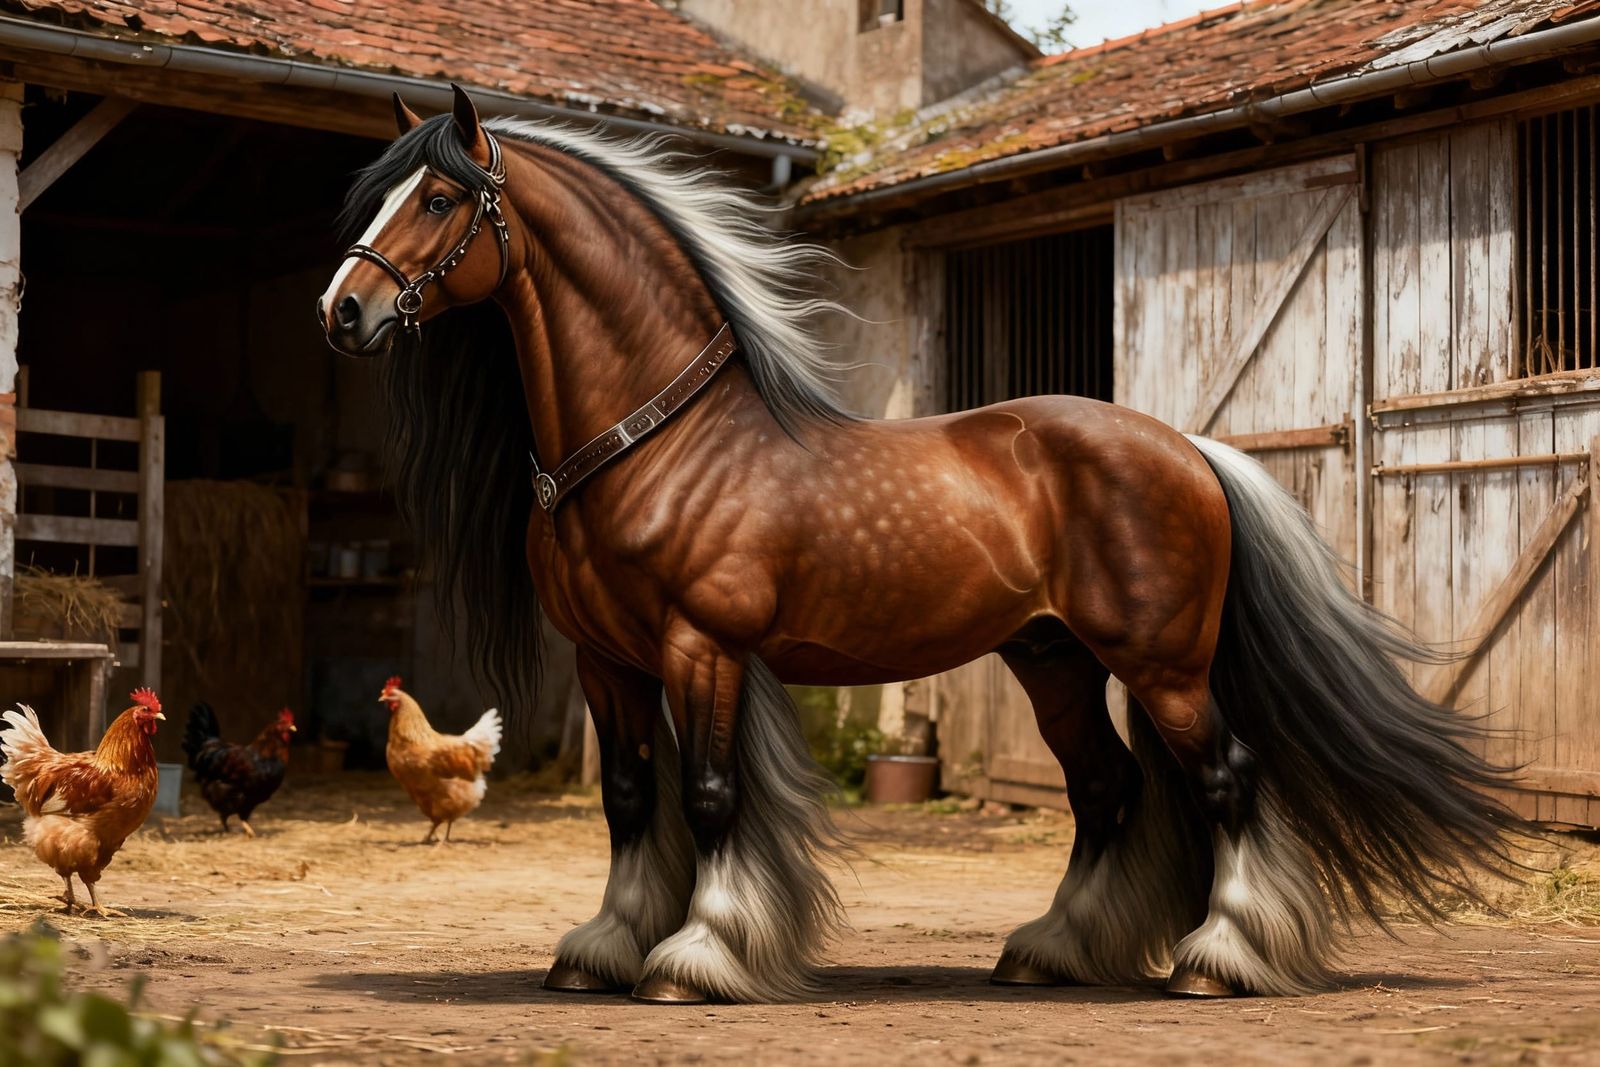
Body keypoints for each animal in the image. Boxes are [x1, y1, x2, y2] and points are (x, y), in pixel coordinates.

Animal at [318, 85, 1532, 1004]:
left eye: (438, 197)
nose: (342, 313)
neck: (660, 439)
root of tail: (1186, 447)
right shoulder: (607, 660)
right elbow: (627, 798)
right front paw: (604, 948)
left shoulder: (702, 646)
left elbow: (708, 795)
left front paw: (694, 957)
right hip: (1054, 661)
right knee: (1108, 789)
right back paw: (1049, 950)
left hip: (1163, 665)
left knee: (1223, 778)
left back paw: (1217, 958)